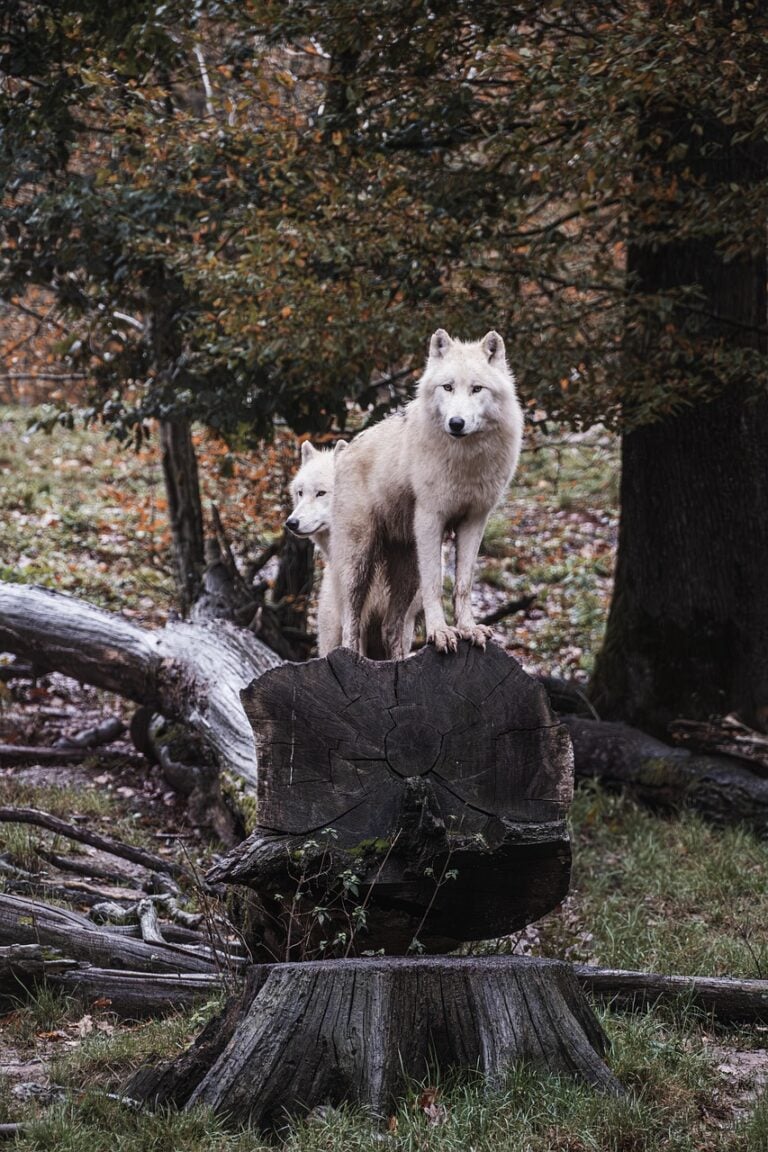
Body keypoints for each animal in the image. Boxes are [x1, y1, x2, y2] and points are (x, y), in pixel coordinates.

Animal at [331, 329, 524, 655]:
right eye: (448, 387)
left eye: (476, 389)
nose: (456, 423)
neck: (465, 459)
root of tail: (343, 451)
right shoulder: (431, 518)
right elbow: (435, 584)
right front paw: (440, 632)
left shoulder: (475, 520)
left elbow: (463, 585)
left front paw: (468, 629)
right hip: (358, 562)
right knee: (351, 624)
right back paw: (350, 655)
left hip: (407, 569)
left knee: (391, 627)